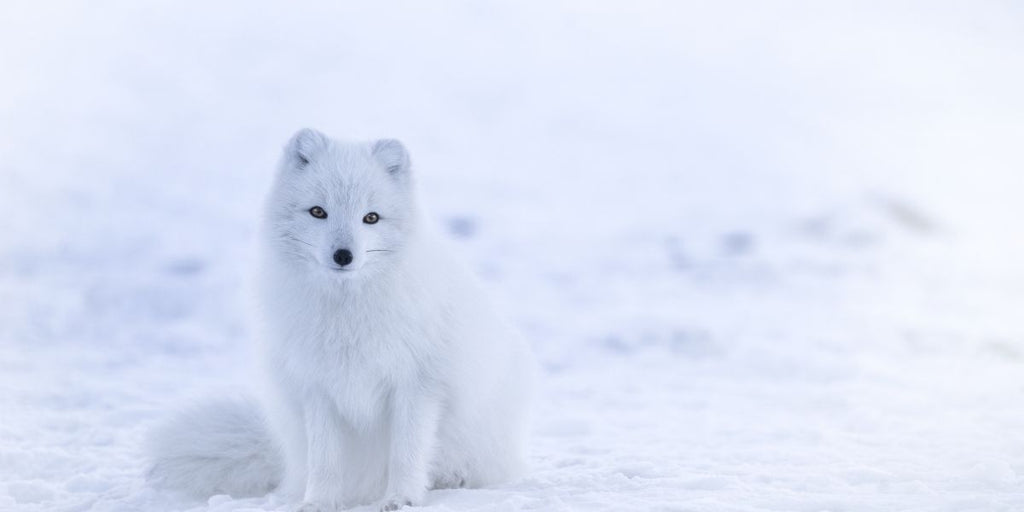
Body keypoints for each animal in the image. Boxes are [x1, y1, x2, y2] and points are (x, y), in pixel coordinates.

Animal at [149, 130, 544, 509]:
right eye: (318, 212)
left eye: (371, 217)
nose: (343, 255)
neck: (347, 313)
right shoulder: (317, 388)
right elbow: (325, 460)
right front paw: (318, 502)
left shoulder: (417, 385)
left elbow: (406, 453)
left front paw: (402, 499)